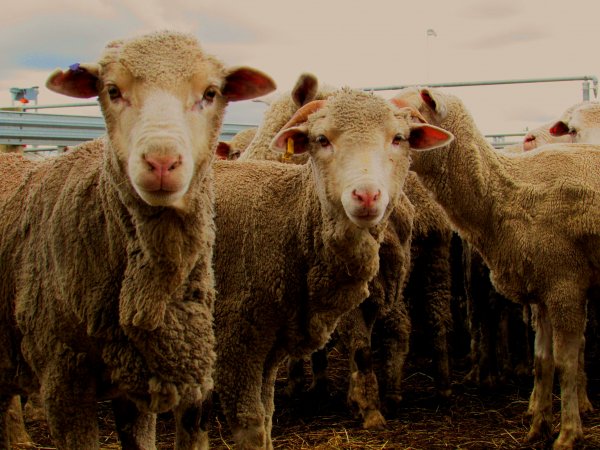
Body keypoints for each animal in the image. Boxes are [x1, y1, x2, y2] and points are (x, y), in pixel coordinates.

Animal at [394, 87, 600, 450]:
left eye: (411, 115)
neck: (508, 191)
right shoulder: (543, 291)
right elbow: (542, 361)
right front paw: (538, 428)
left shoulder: (566, 285)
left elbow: (567, 362)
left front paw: (568, 433)